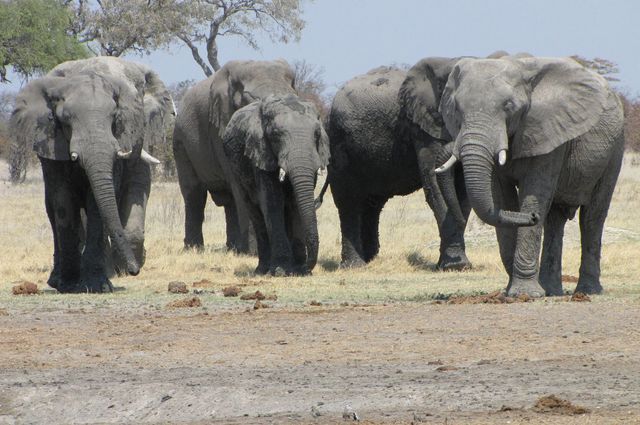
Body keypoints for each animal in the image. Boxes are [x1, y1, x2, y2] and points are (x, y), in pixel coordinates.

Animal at [11, 57, 174, 293]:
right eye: (65, 120)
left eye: (115, 117)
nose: (134, 271)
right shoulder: (53, 144)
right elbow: (64, 202)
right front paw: (70, 285)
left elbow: (102, 201)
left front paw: (99, 285)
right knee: (53, 210)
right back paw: (59, 279)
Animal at [173, 59, 296, 253]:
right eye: (253, 103)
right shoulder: (220, 128)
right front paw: (253, 253)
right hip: (181, 142)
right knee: (194, 194)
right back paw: (194, 249)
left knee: (229, 201)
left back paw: (233, 248)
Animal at [222, 94, 329, 275]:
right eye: (276, 135)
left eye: (316, 134)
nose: (307, 268)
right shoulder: (260, 154)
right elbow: (273, 202)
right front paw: (280, 271)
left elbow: (295, 202)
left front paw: (298, 271)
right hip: (235, 171)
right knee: (255, 212)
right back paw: (262, 270)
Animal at [325, 64, 471, 269]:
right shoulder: (424, 130)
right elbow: (435, 186)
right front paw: (455, 266)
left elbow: (462, 193)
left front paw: (449, 264)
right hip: (338, 142)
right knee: (348, 201)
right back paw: (355, 266)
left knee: (372, 203)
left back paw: (370, 258)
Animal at [435, 56, 625, 297]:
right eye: (457, 109)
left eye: (508, 106)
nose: (532, 217)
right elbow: (501, 199)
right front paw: (513, 293)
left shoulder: (548, 131)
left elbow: (535, 193)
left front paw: (524, 294)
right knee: (555, 219)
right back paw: (551, 290)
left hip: (615, 149)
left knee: (593, 216)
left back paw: (588, 291)